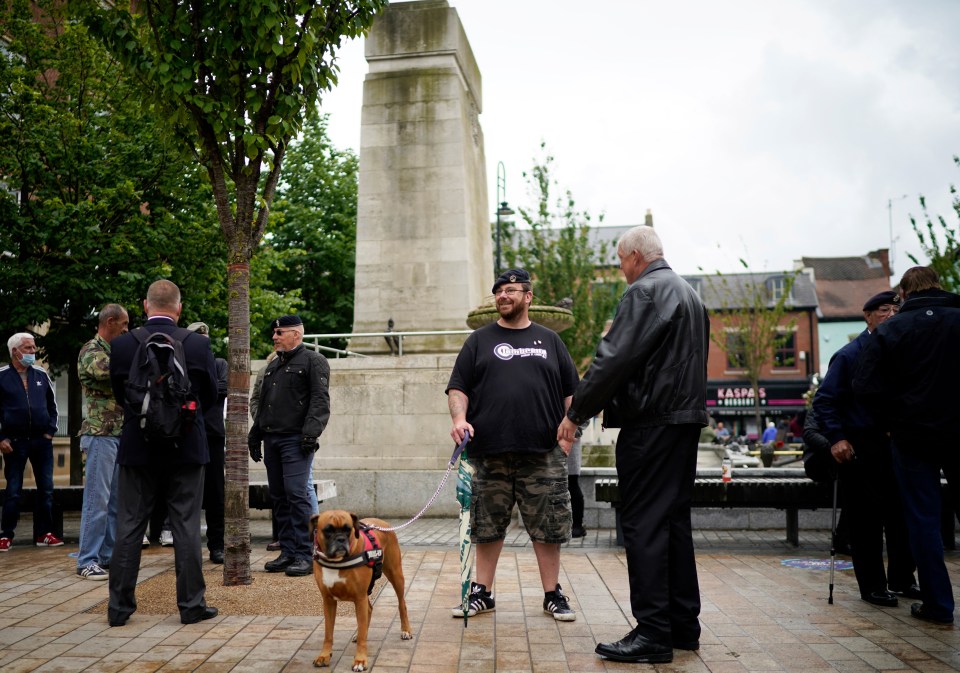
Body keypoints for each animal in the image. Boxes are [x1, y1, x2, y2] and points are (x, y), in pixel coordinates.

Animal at [310, 512, 410, 668]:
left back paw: (406, 630)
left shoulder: (359, 597)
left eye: (348, 529)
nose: (340, 539)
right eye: (328, 530)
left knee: (401, 603)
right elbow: (328, 632)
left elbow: (362, 631)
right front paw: (324, 655)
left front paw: (360, 660)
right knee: (369, 610)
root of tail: (383, 523)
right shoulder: (328, 601)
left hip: (396, 575)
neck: (337, 562)